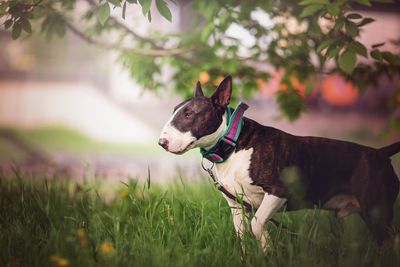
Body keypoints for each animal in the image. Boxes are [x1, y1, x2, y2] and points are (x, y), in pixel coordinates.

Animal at [158, 76, 398, 251]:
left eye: (189, 114)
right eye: (174, 111)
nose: (162, 143)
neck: (234, 146)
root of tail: (380, 153)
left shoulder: (278, 191)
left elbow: (256, 224)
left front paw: (268, 249)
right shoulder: (235, 204)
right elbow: (242, 234)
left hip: (377, 212)